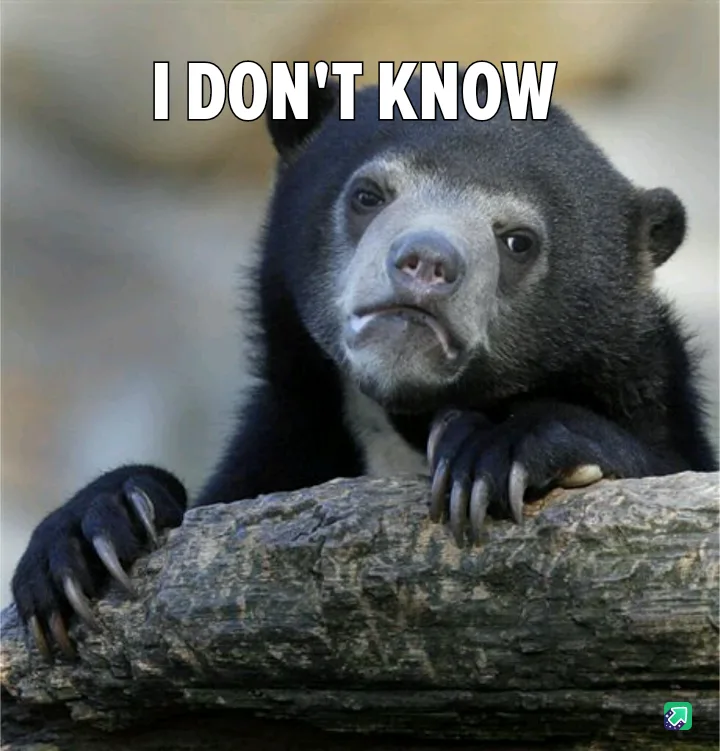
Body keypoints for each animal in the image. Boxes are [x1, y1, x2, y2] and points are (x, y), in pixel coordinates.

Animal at [11, 73, 717, 659]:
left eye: (518, 241)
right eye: (368, 194)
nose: (427, 263)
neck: (402, 420)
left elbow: (662, 458)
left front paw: (493, 450)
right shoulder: (292, 432)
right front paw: (87, 537)